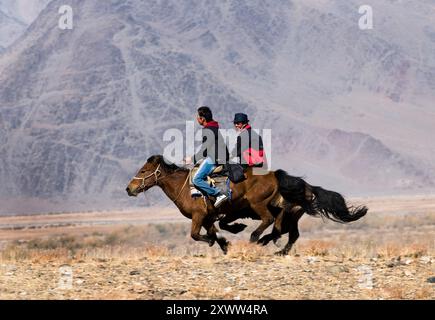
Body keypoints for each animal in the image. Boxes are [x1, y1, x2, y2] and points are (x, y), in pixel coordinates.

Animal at [125, 155, 368, 255]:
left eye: (143, 171)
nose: (129, 189)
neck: (186, 187)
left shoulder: (199, 216)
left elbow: (196, 235)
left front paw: (222, 241)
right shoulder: (209, 217)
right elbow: (215, 231)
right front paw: (225, 243)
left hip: (261, 205)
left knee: (273, 222)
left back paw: (257, 239)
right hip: (292, 214)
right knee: (290, 233)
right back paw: (274, 248)